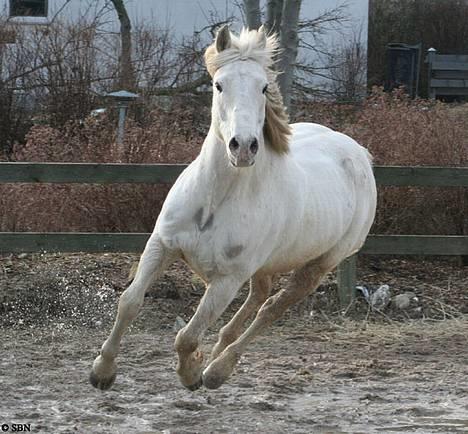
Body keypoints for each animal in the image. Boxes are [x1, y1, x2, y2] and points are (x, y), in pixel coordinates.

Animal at [90, 26, 376, 390]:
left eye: (264, 86)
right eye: (218, 84)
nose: (243, 147)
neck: (214, 200)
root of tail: (359, 153)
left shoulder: (227, 279)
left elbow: (187, 336)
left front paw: (192, 373)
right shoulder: (162, 244)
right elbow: (129, 302)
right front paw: (102, 372)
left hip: (319, 265)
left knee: (271, 308)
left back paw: (218, 369)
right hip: (266, 264)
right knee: (260, 296)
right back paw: (217, 352)